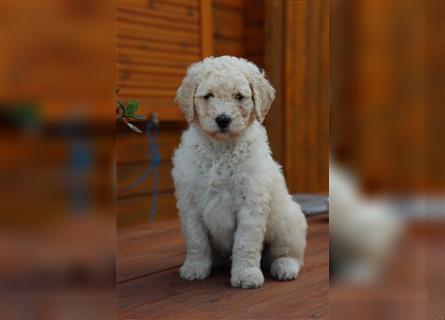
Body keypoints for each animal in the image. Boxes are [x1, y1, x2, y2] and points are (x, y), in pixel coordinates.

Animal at [170, 56, 306, 288]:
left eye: (239, 97)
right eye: (208, 96)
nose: (223, 119)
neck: (221, 149)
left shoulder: (251, 201)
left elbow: (245, 242)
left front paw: (246, 274)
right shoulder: (189, 202)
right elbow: (196, 240)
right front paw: (195, 267)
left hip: (288, 222)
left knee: (290, 253)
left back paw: (284, 267)